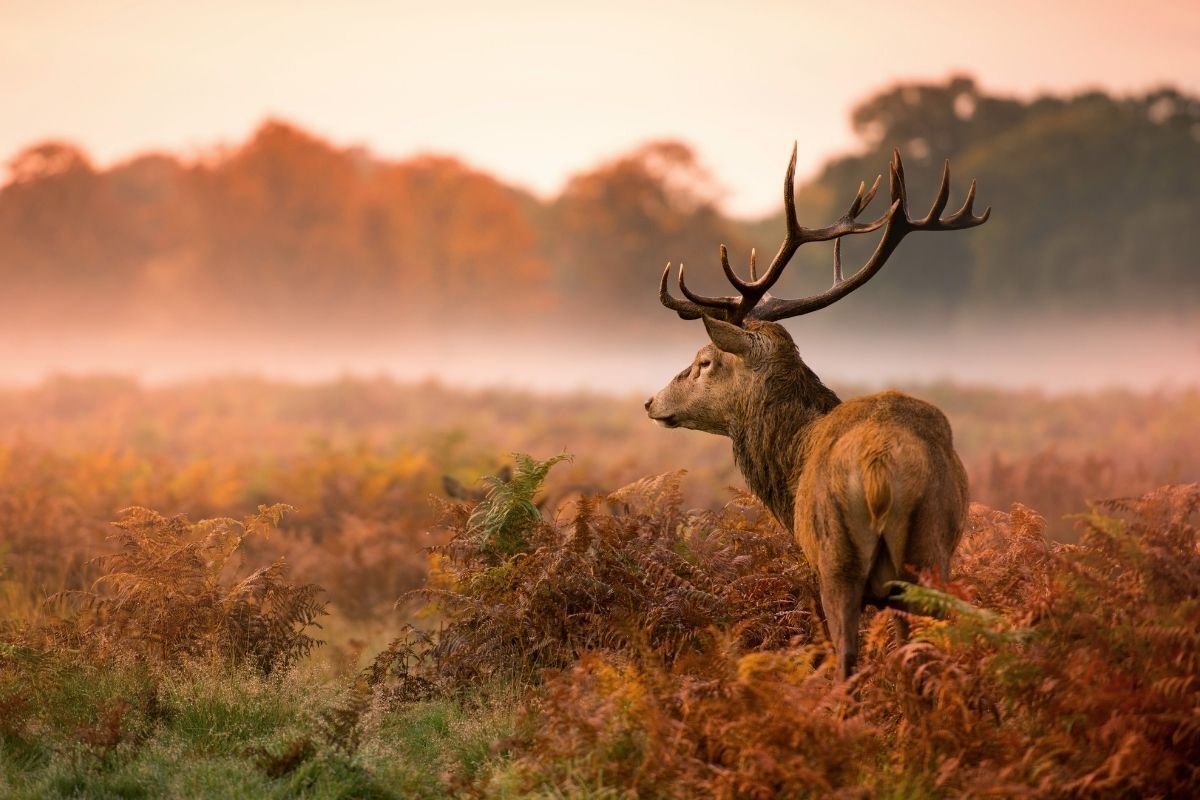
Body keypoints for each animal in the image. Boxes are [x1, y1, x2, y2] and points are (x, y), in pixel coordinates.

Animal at [643, 145, 988, 681]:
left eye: (704, 361)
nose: (651, 401)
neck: (792, 459)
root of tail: (879, 468)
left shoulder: (812, 562)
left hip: (837, 560)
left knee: (845, 658)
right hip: (932, 551)